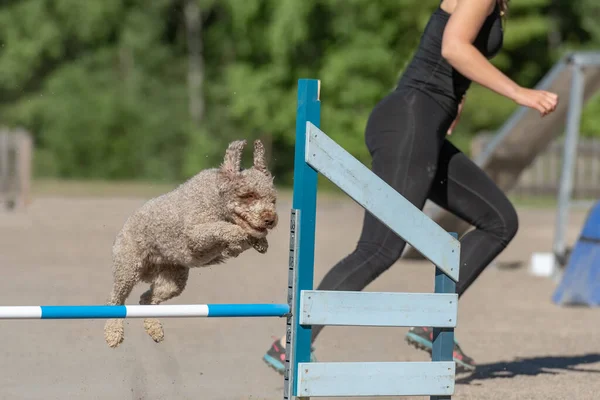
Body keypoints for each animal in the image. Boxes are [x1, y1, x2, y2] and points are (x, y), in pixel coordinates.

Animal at [103, 139, 278, 348]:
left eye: (273, 200)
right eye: (249, 195)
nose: (270, 219)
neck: (216, 198)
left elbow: (243, 237)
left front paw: (260, 242)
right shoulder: (195, 234)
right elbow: (224, 229)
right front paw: (240, 235)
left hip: (172, 280)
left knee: (147, 299)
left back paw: (154, 328)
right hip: (128, 269)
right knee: (115, 300)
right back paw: (113, 332)